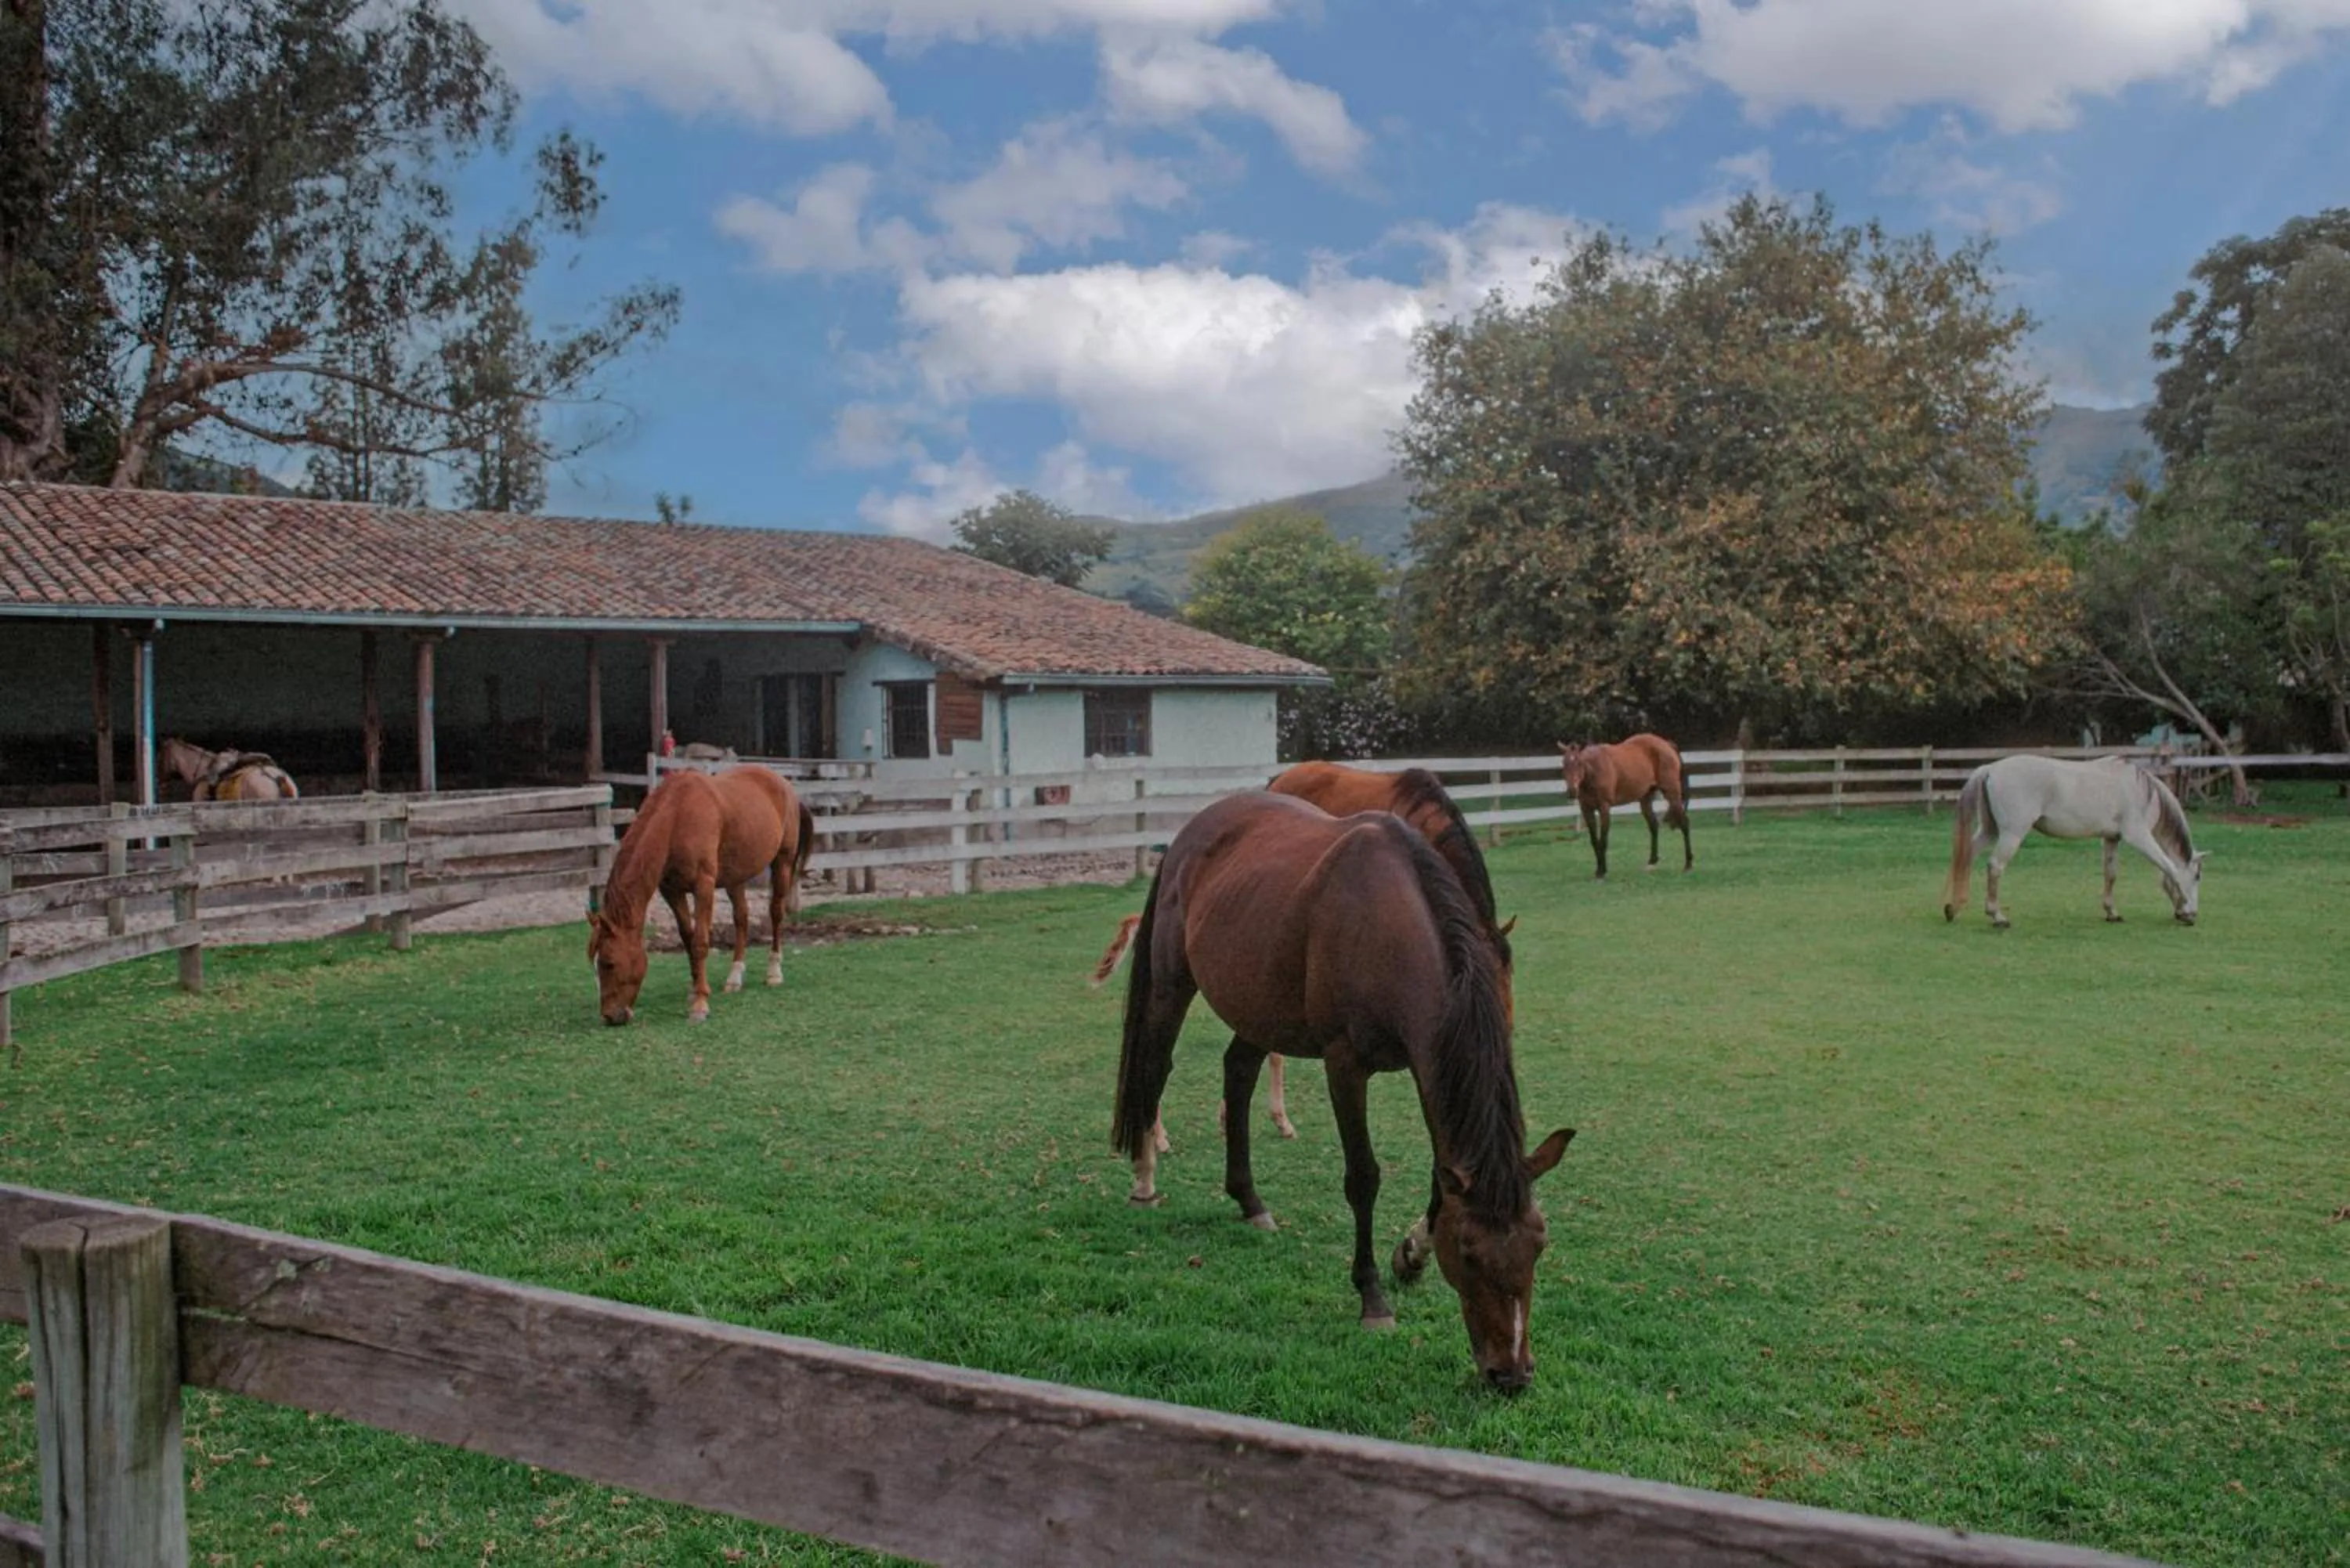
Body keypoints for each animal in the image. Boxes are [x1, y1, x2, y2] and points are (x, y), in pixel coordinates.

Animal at [588, 767, 817, 1024]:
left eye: (608, 963)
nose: (610, 1016)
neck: (677, 816)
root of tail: (785, 785)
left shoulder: (703, 886)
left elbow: (700, 942)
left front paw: (700, 1004)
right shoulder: (671, 890)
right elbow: (687, 937)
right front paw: (696, 987)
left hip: (783, 863)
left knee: (776, 913)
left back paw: (774, 972)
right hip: (735, 876)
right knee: (741, 918)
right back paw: (734, 977)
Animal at [1108, 791, 1572, 1392]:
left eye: (1539, 1245)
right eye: (1470, 1253)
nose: (1511, 1374)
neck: (1388, 922)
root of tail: (1193, 830)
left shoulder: (1428, 1061)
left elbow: (1438, 1176)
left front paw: (1411, 1255)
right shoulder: (1345, 1064)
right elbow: (1363, 1177)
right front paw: (1372, 1297)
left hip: (1260, 1003)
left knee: (1238, 1072)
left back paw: (1249, 1200)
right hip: (1172, 983)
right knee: (1155, 1069)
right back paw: (1145, 1179)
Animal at [1557, 734, 1691, 879]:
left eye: (1579, 763)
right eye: (1564, 763)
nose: (1572, 791)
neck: (1593, 771)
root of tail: (1667, 744)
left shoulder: (1604, 808)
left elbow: (1603, 840)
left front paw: (1602, 872)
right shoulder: (1586, 809)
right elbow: (1594, 841)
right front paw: (1599, 870)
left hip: (1672, 793)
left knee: (1684, 823)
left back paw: (1688, 864)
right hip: (1645, 799)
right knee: (1654, 826)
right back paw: (1652, 862)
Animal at [1945, 755, 2206, 929]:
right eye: (2197, 876)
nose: (2193, 915)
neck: (2142, 790)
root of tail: (1990, 768)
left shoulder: (2111, 839)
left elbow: (2111, 874)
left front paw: (2112, 912)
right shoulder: (2139, 837)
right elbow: (2169, 869)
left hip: (1989, 830)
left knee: (1965, 857)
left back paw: (1952, 908)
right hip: (2012, 834)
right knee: (1995, 867)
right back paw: (1997, 916)